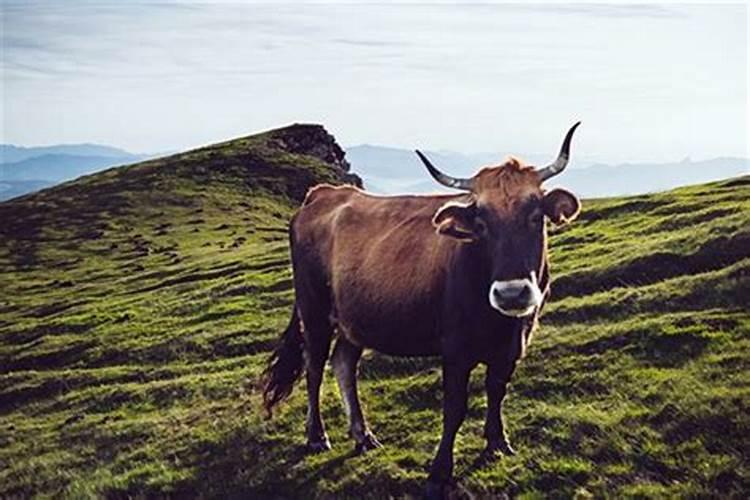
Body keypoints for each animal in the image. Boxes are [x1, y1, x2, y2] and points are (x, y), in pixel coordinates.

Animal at [262, 122, 584, 496]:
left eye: (535, 217)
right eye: (481, 223)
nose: (512, 293)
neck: (498, 323)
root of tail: (323, 194)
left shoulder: (512, 346)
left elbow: (497, 393)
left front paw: (497, 444)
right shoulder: (455, 349)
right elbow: (455, 409)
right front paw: (440, 471)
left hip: (353, 319)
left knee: (343, 363)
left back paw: (363, 435)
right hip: (314, 310)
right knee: (314, 368)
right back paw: (317, 437)